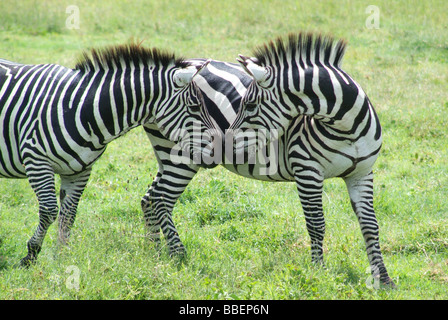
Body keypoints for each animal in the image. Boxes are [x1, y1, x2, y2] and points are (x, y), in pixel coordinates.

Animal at [0, 43, 214, 268]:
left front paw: (62, 257)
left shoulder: (80, 170)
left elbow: (69, 214)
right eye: (195, 107)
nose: (214, 152)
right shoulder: (36, 160)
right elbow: (49, 211)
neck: (81, 109)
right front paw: (30, 255)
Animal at [228, 32, 396, 288]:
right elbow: (316, 224)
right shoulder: (307, 171)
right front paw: (318, 271)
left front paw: (383, 278)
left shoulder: (362, 173)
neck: (347, 129)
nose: (225, 141)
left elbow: (370, 226)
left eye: (250, 104)